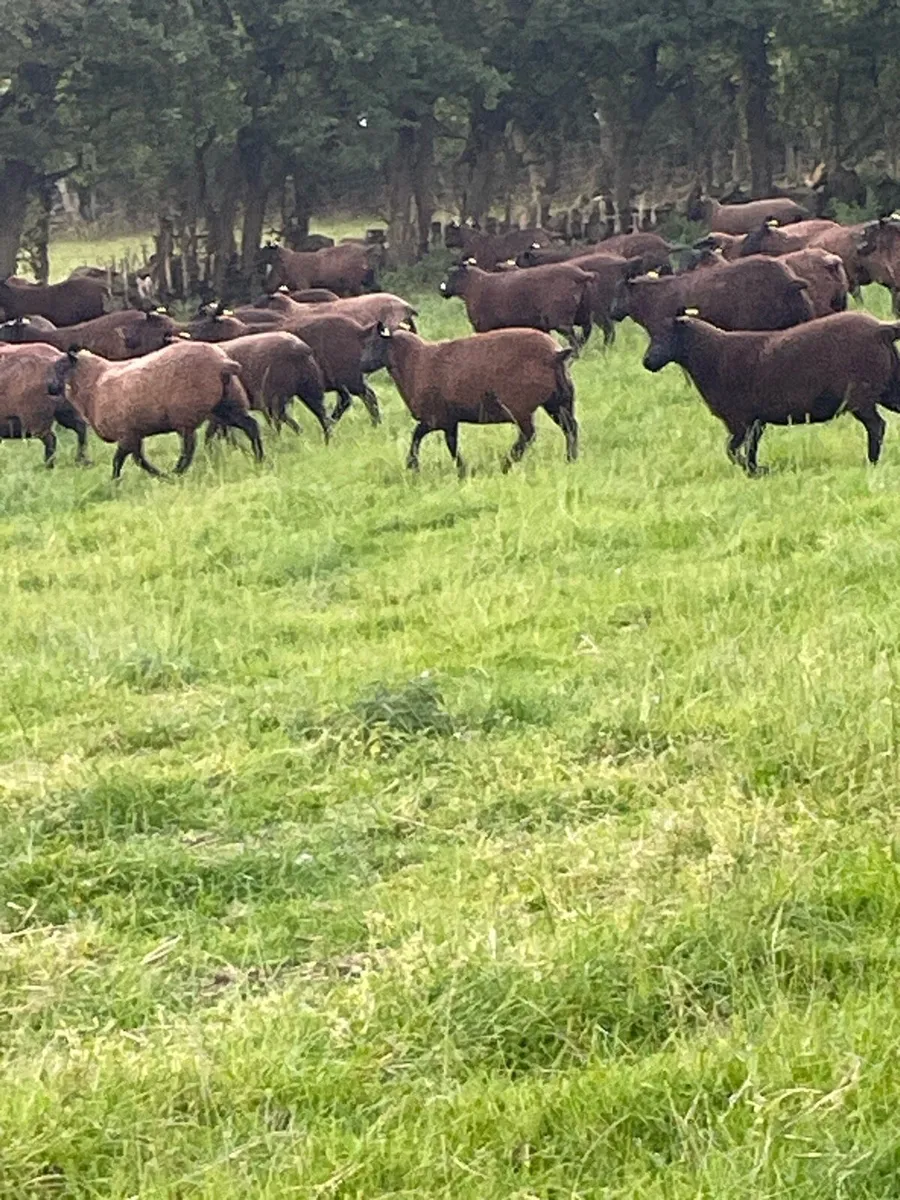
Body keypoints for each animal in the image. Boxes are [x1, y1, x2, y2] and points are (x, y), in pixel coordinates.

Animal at [48, 341, 263, 478]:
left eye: (61, 367)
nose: (49, 388)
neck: (94, 383)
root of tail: (223, 363)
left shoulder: (126, 435)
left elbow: (121, 461)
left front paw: (116, 482)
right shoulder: (134, 435)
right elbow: (138, 460)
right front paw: (158, 476)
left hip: (186, 416)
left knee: (188, 450)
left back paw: (177, 473)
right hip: (227, 405)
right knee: (251, 426)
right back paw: (260, 459)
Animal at [359, 324, 577, 475]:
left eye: (372, 342)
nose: (361, 364)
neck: (414, 362)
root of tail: (556, 354)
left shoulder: (434, 418)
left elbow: (417, 436)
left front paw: (412, 465)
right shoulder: (449, 421)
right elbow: (452, 445)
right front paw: (462, 470)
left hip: (520, 407)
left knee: (528, 435)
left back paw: (506, 464)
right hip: (558, 402)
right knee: (570, 427)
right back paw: (571, 459)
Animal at [440, 260, 593, 347]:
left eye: (452, 274)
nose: (443, 292)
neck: (473, 285)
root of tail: (582, 276)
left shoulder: (482, 326)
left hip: (561, 320)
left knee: (574, 339)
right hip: (582, 313)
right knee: (585, 332)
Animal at [643, 311, 900, 473]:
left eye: (663, 336)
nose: (646, 362)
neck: (711, 356)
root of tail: (880, 328)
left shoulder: (739, 421)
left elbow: (731, 450)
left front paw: (754, 470)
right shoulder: (756, 421)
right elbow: (750, 449)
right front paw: (755, 471)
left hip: (860, 397)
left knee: (877, 426)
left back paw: (871, 462)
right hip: (888, 390)